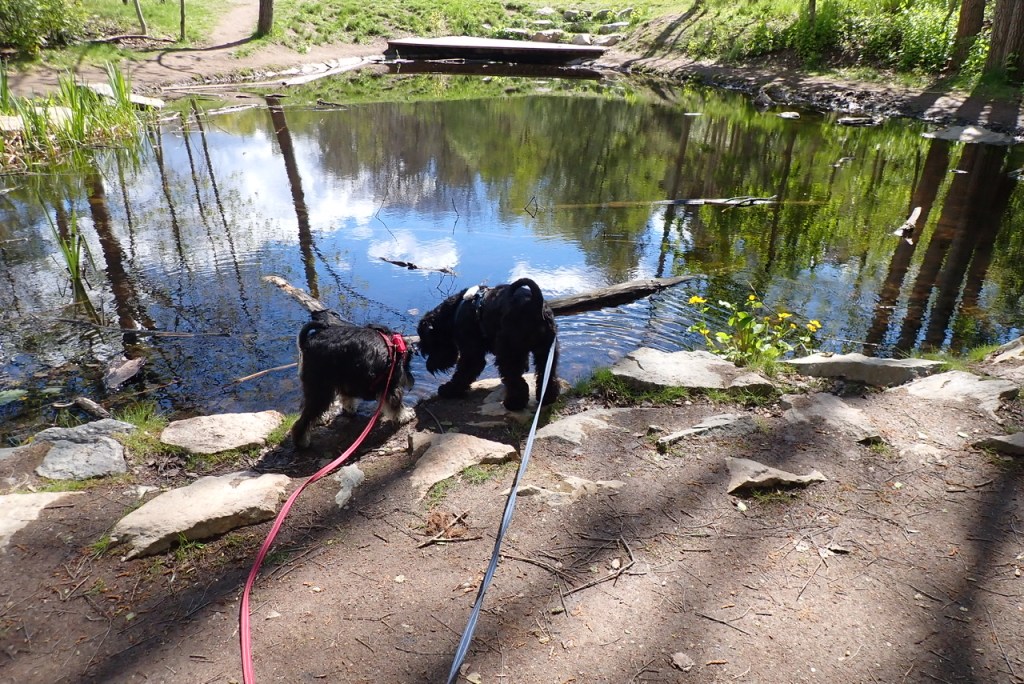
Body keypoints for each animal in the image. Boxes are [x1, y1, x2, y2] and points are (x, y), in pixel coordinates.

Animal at [291, 310, 415, 448]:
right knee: (305, 418)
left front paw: (349, 408)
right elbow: (396, 405)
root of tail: (305, 343)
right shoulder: (391, 386)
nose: (410, 381)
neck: (394, 346)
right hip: (321, 388)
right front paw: (405, 415)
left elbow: (347, 397)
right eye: (408, 362)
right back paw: (302, 441)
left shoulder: (348, 380)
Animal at [417, 278, 560, 411]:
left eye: (428, 342)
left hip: (508, 353)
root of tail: (535, 302)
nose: (429, 365)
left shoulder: (471, 354)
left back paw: (513, 404)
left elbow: (463, 372)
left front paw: (449, 390)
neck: (453, 312)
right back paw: (547, 398)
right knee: (546, 375)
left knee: (516, 380)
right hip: (546, 351)